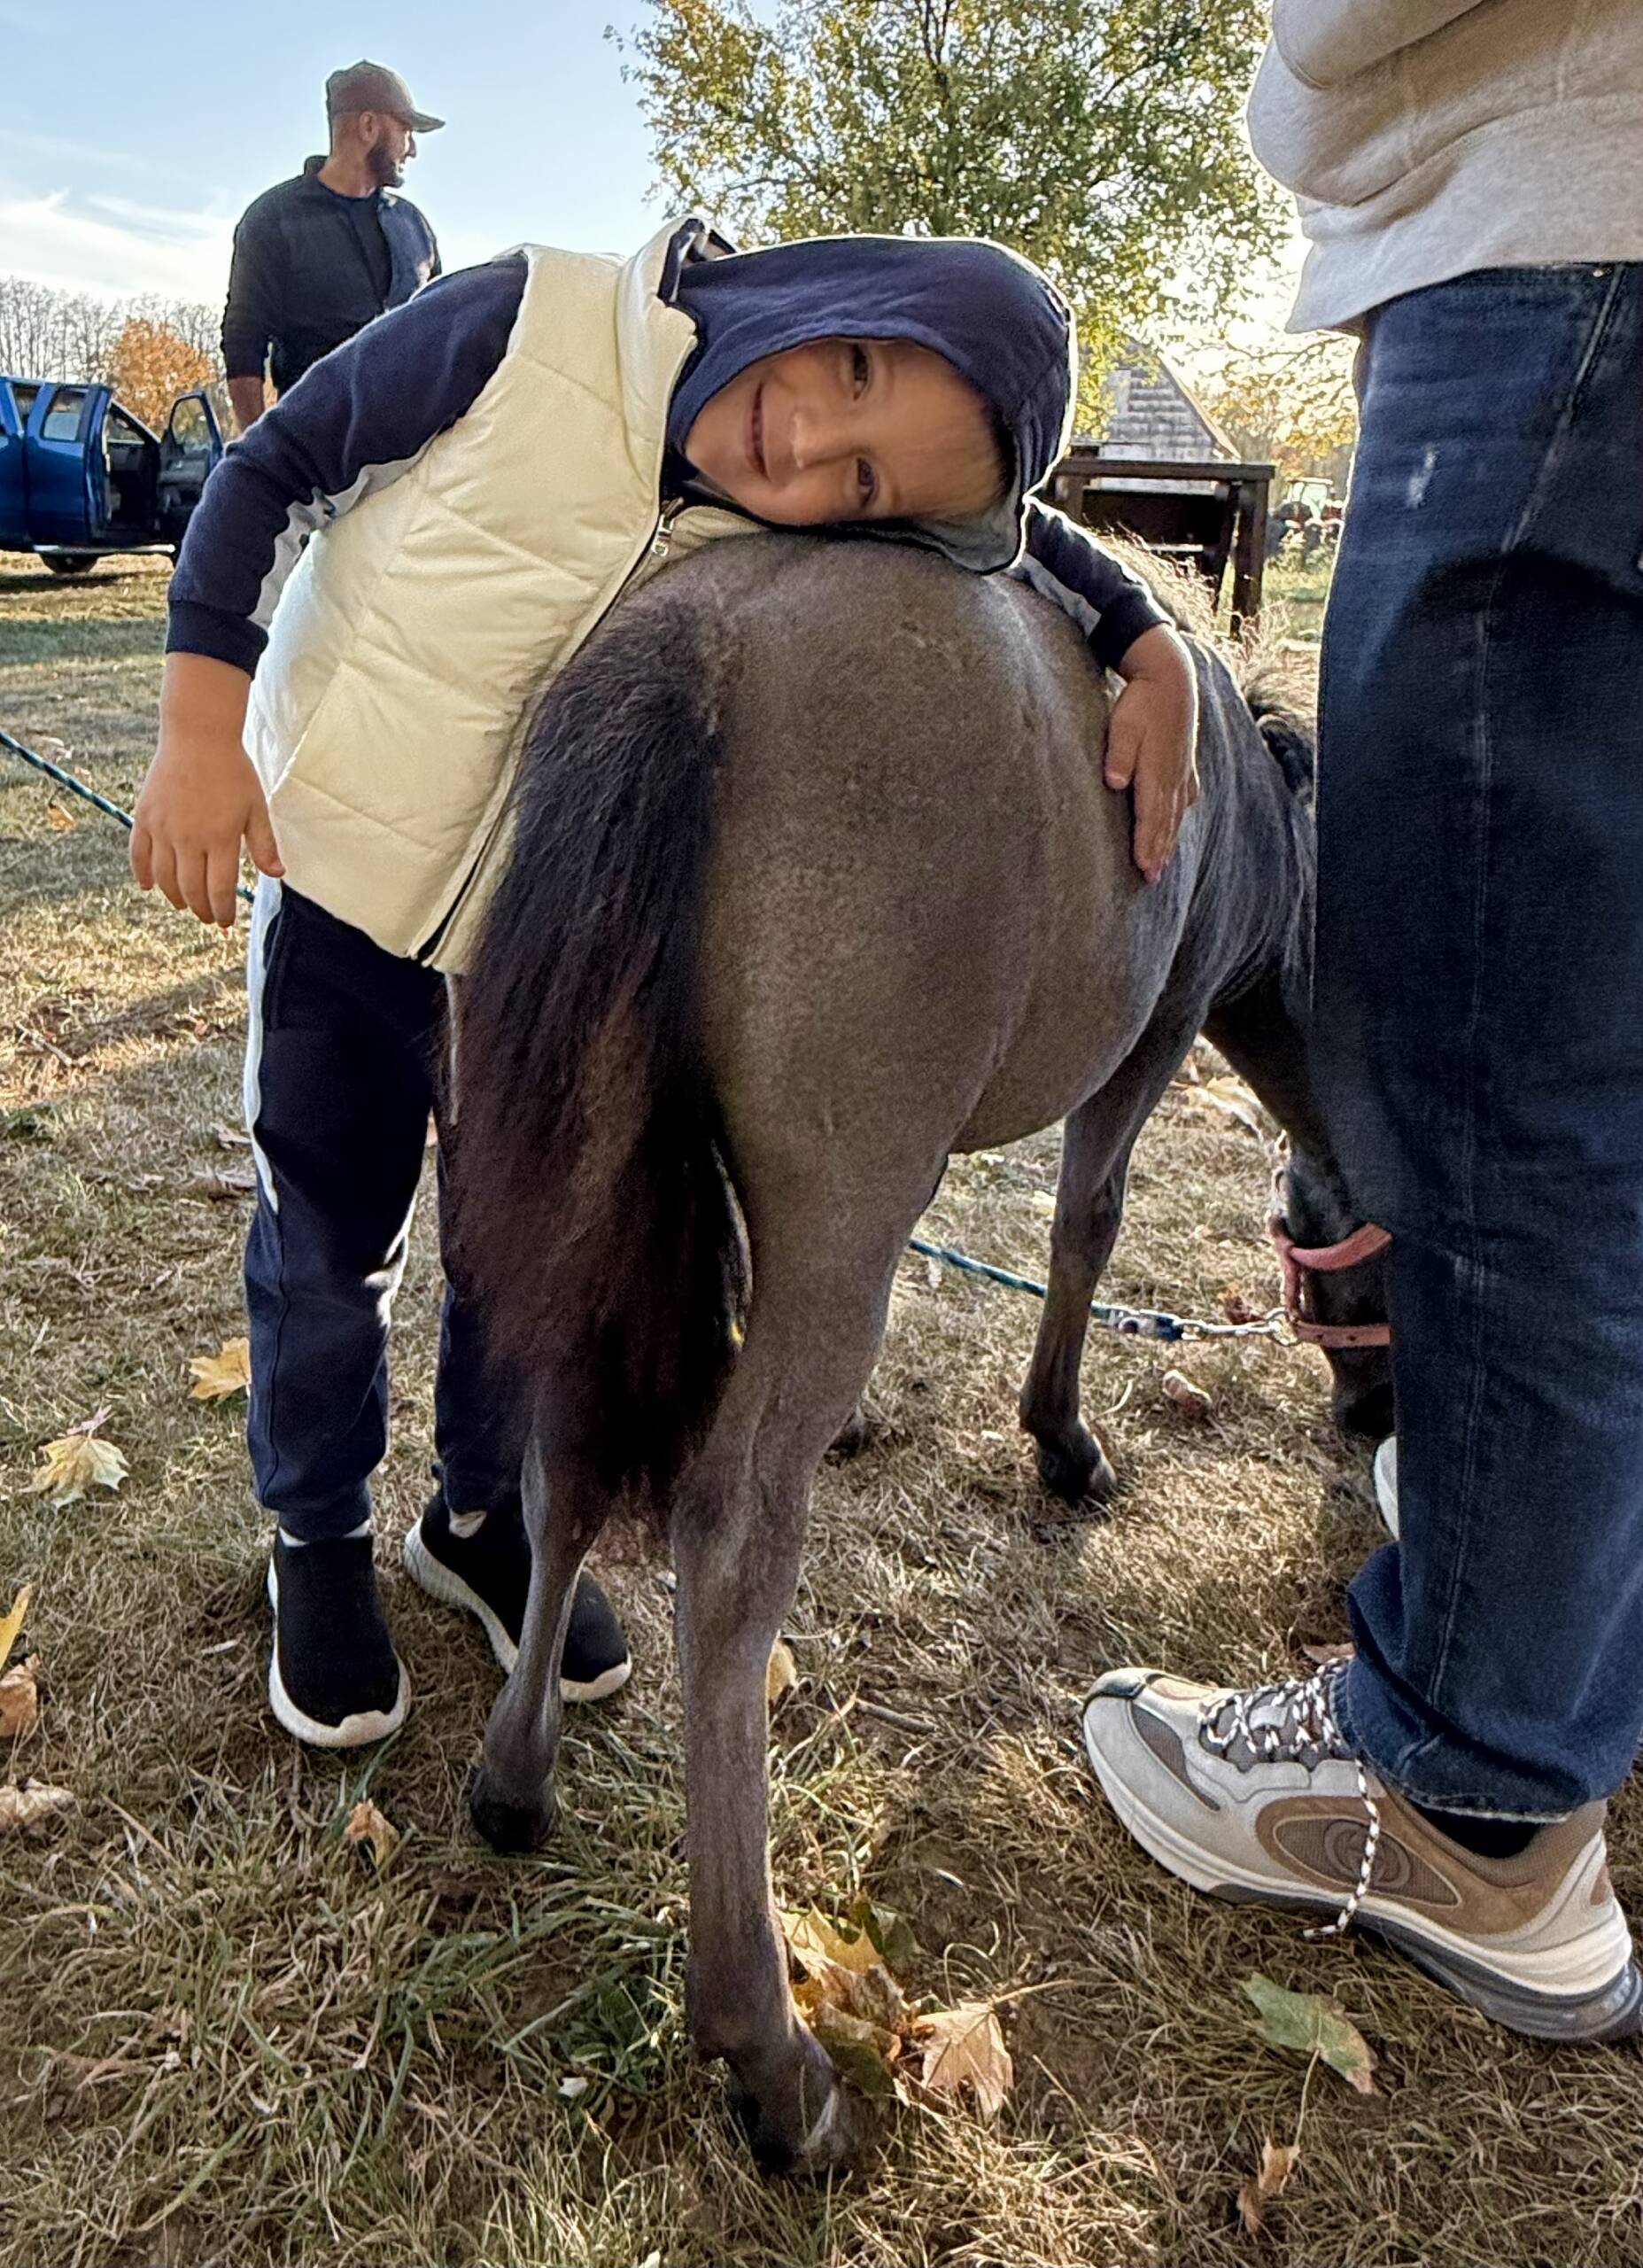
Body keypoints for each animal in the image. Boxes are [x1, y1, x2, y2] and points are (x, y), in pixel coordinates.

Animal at [449, 533, 1391, 2173]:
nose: (1368, 1412)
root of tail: (701, 639)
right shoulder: (1151, 1043)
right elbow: (1087, 1221)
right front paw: (1062, 1441)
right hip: (831, 1206)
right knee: (727, 1542)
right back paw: (768, 2050)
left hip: (608, 1179)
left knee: (565, 1453)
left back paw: (517, 1778)